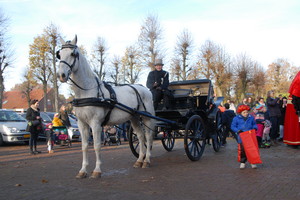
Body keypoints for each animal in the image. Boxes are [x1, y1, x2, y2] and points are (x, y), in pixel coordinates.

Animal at [56, 35, 155, 178]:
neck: (87, 91)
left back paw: (147, 160)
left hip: (146, 118)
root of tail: (144, 89)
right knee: (141, 137)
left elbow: (97, 145)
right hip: (134, 118)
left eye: (73, 54)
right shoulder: (82, 123)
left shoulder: (95, 123)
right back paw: (139, 160)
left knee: (148, 137)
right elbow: (84, 146)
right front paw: (83, 170)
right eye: (59, 54)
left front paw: (97, 170)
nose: (61, 75)